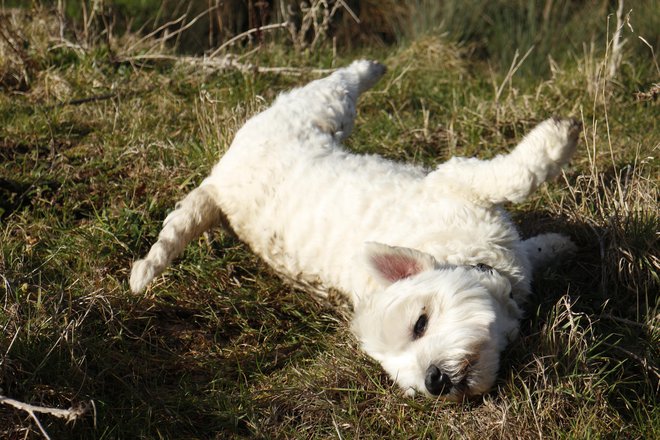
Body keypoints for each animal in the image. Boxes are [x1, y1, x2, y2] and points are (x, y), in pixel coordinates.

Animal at [127, 60, 576, 400]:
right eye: (401, 379)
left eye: (420, 324)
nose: (434, 382)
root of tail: (219, 179)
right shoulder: (460, 191)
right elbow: (517, 192)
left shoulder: (454, 182)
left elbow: (515, 181)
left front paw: (555, 158)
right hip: (313, 114)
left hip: (309, 115)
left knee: (336, 84)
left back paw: (369, 68)